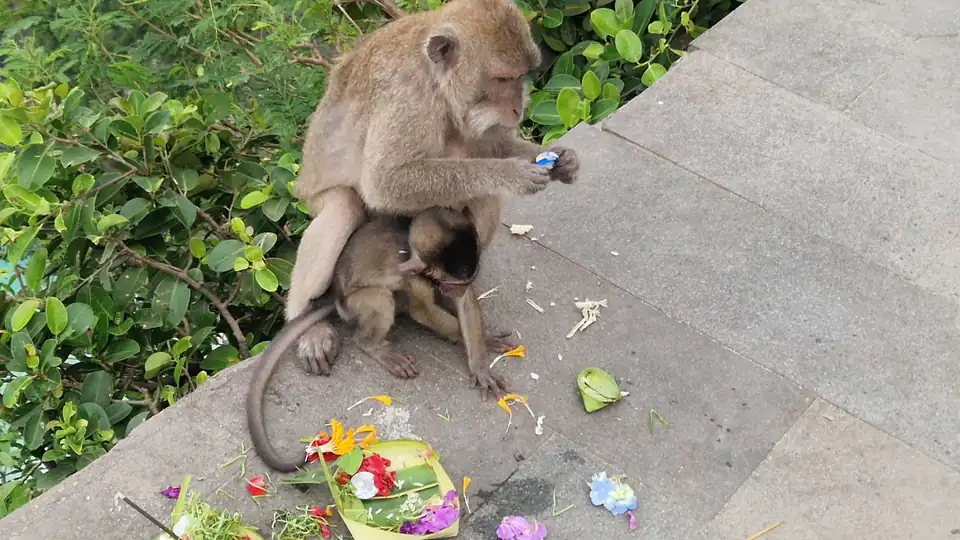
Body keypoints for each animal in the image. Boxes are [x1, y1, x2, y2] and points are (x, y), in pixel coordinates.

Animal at [248, 206, 517, 472]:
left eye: (464, 281)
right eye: (451, 283)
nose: (455, 290)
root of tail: (335, 295)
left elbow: (465, 305)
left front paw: (482, 358)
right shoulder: (412, 274)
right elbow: (422, 309)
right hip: (352, 306)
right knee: (381, 298)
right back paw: (374, 346)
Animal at [285, 0, 581, 387]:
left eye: (522, 76)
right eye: (503, 79)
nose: (520, 107)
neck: (437, 84)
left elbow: (492, 144)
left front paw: (562, 161)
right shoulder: (407, 100)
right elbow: (385, 180)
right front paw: (510, 173)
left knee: (480, 193)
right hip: (321, 204)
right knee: (342, 207)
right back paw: (306, 323)